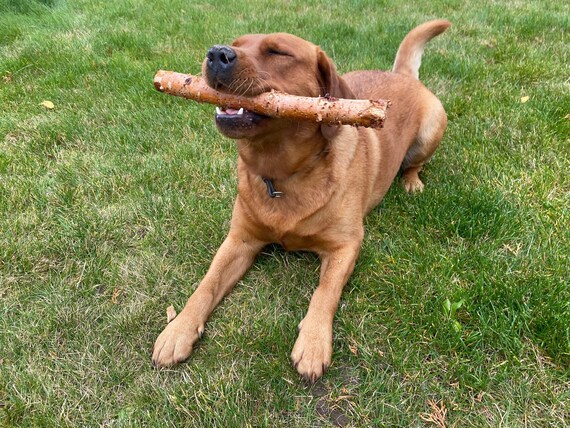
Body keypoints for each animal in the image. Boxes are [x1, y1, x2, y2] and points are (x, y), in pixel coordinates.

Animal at [152, 19, 451, 382]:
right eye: (236, 43)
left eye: (278, 51)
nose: (216, 53)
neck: (282, 175)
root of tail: (403, 75)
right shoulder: (240, 239)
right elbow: (206, 284)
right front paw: (178, 329)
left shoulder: (346, 245)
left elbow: (324, 293)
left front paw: (313, 342)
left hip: (432, 129)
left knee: (415, 164)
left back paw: (411, 182)